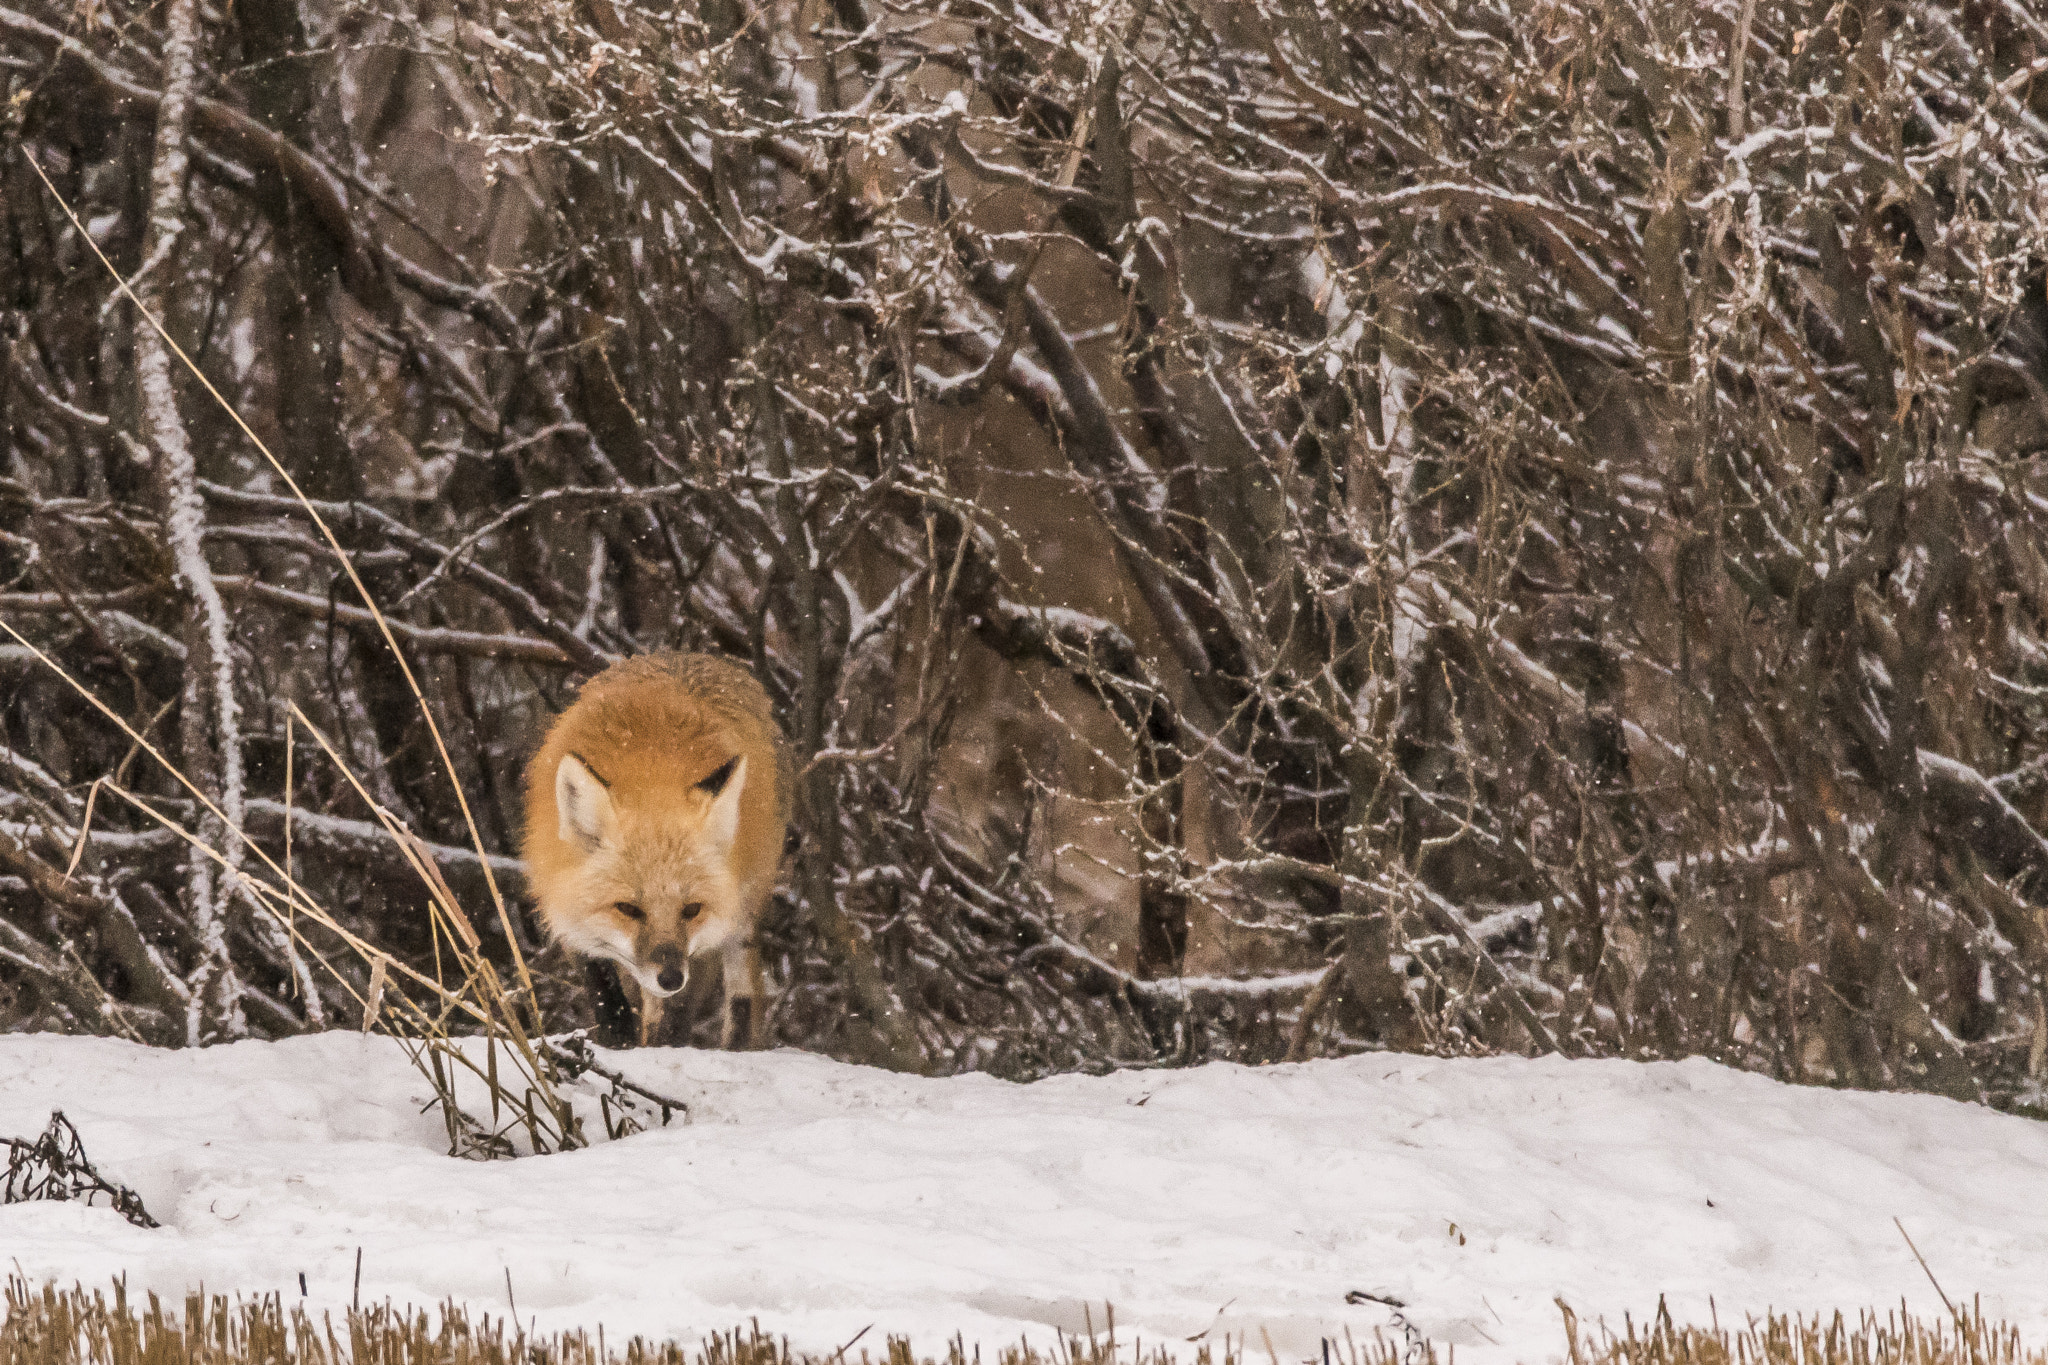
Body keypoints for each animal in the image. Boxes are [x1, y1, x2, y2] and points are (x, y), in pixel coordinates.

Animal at [523, 652, 790, 1048]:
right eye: (627, 908)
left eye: (691, 909)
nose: (670, 978)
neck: (648, 771)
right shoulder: (570, 922)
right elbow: (607, 1000)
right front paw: (617, 1044)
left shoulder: (698, 946)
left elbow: (674, 1016)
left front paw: (663, 1048)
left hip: (744, 911)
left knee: (742, 994)